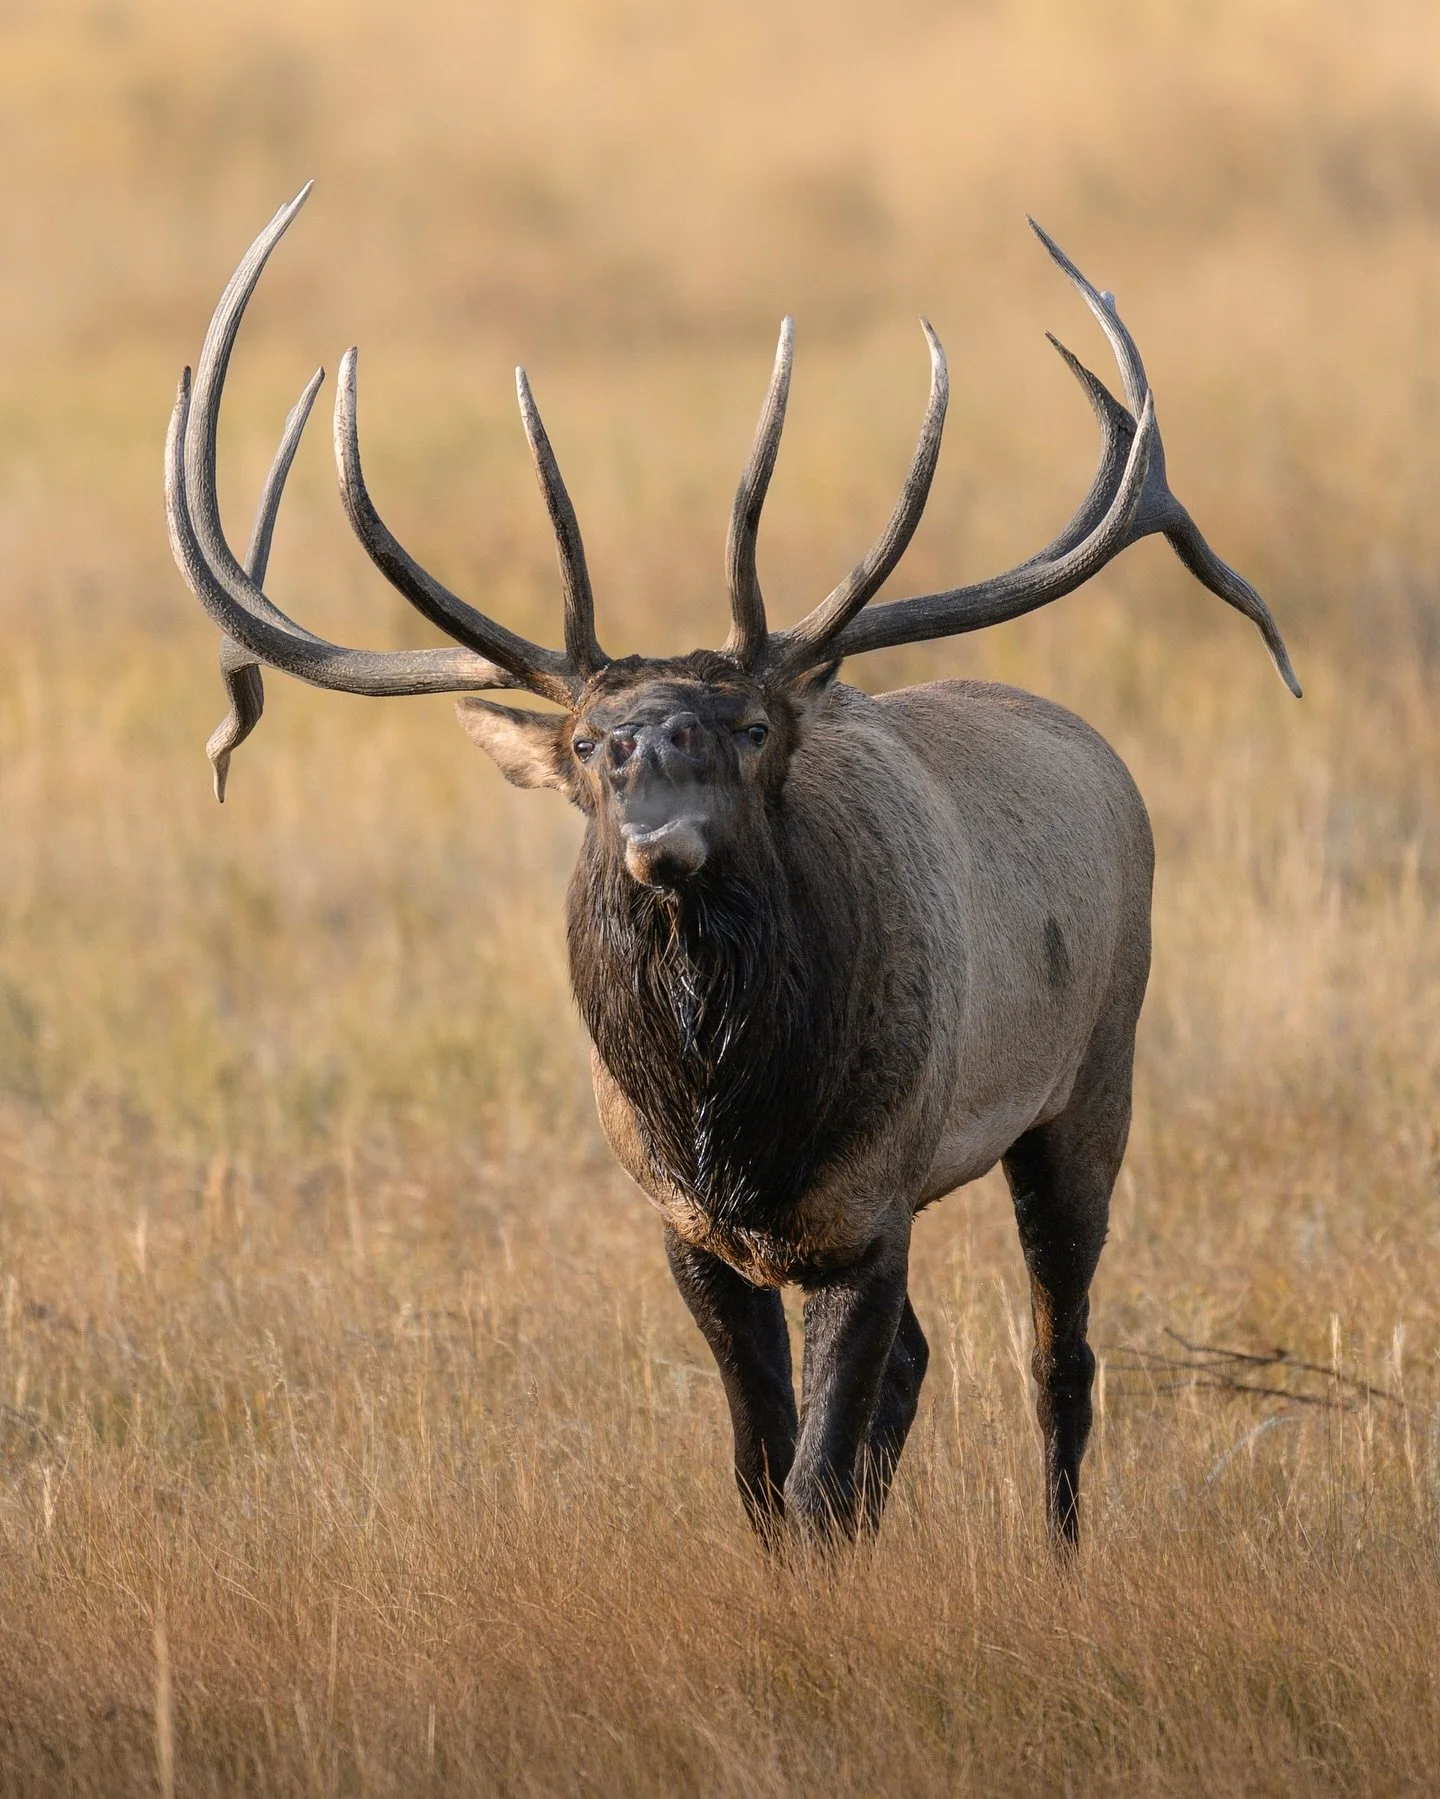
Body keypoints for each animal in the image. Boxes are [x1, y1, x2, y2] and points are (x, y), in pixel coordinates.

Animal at [166, 186, 1299, 1549]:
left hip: (1094, 1077)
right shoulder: (687, 1227)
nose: (664, 833)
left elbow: (812, 1477)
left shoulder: (874, 1201)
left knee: (1059, 1354)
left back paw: (1064, 1554)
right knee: (924, 1365)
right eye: (590, 745)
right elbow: (764, 1473)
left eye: (752, 729)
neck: (734, 1125)